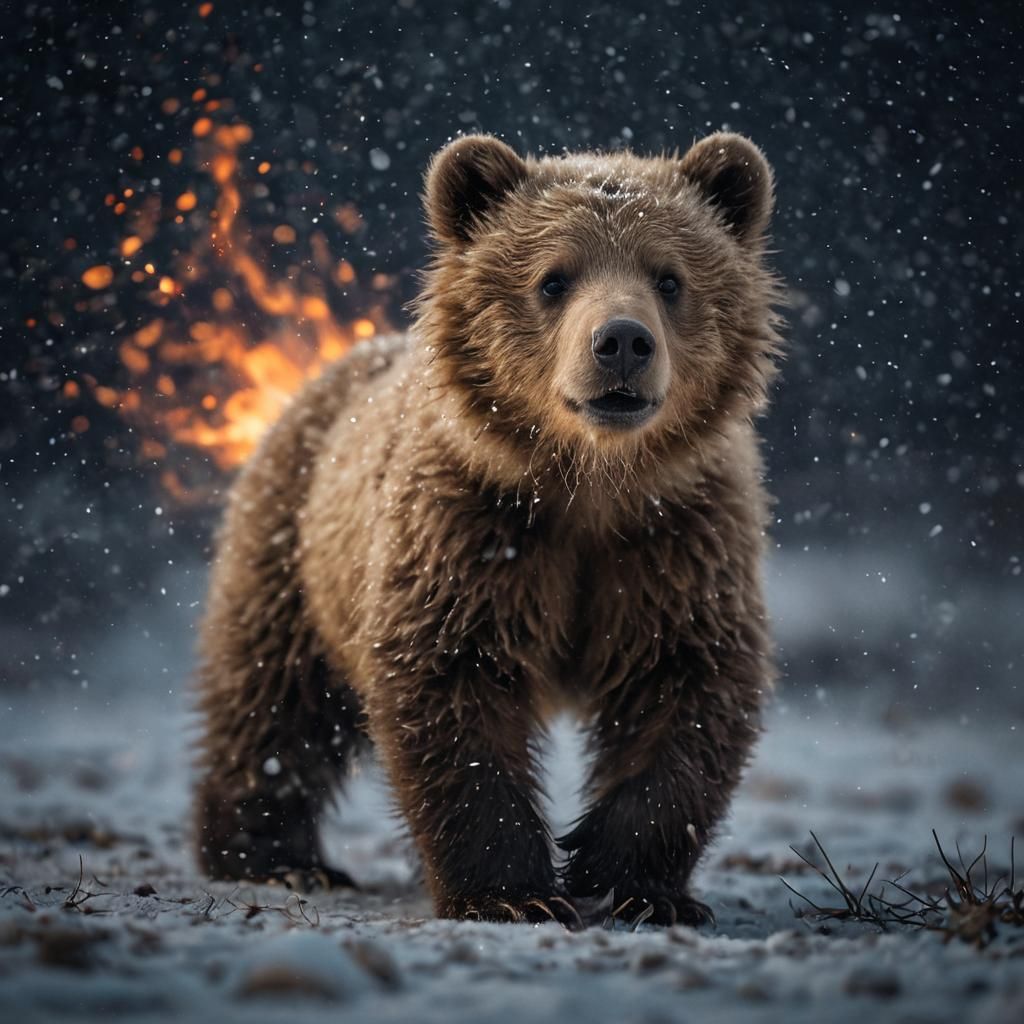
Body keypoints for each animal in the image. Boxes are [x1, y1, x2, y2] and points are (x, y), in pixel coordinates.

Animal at [193, 131, 782, 928]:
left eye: (669, 278)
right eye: (554, 279)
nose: (622, 342)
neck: (591, 488)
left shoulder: (673, 544)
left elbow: (686, 685)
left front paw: (637, 885)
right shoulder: (473, 532)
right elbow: (452, 686)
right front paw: (511, 894)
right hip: (294, 546)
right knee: (273, 697)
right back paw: (272, 858)